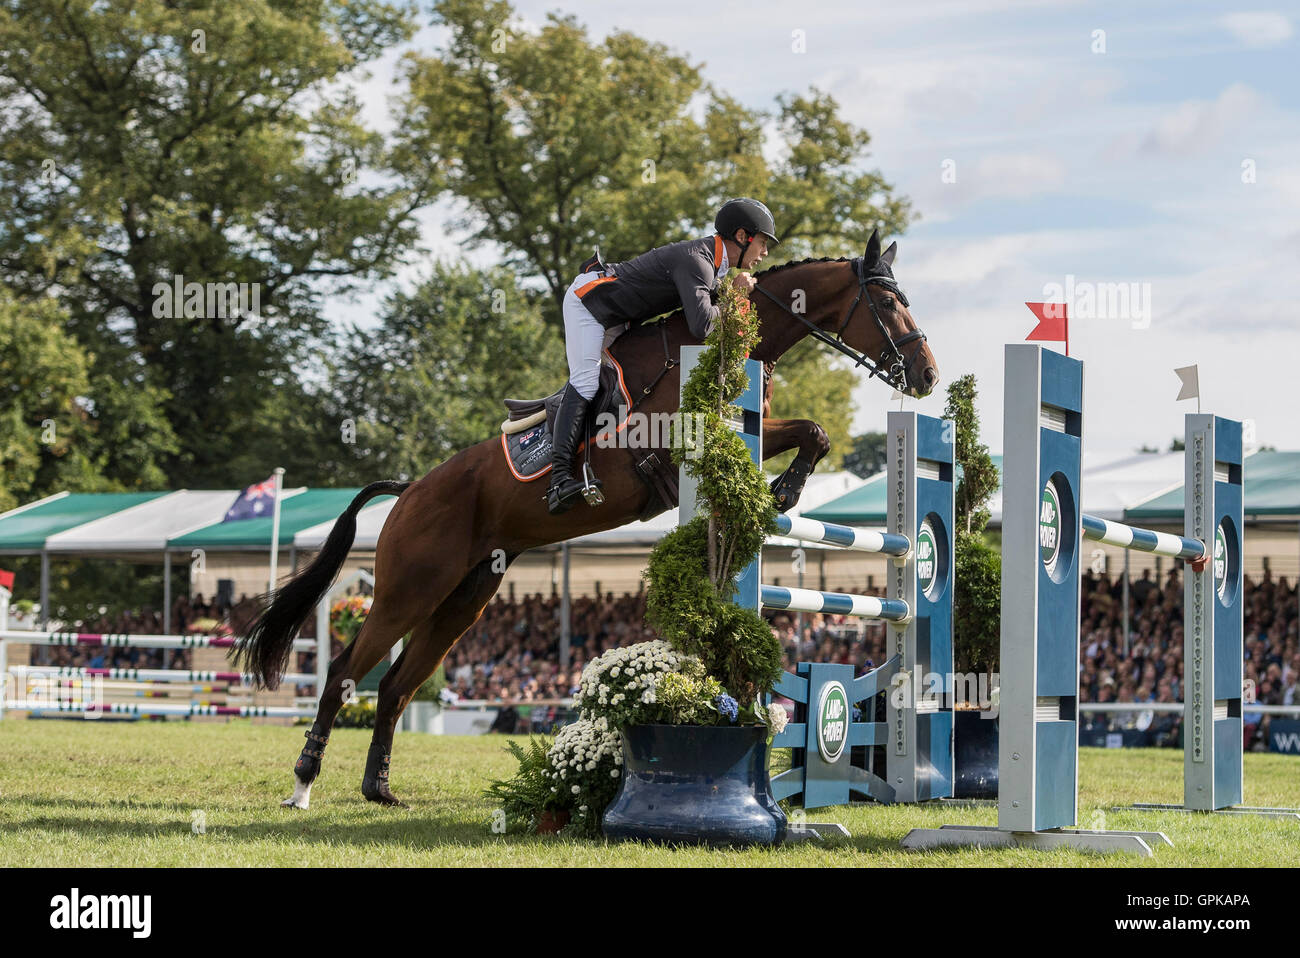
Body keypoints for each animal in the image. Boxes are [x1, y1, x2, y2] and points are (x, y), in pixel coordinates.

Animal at [233, 227, 941, 805]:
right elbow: (804, 434)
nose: (929, 375)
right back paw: (303, 782)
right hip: (411, 588)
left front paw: (784, 491)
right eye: (888, 303)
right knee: (344, 673)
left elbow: (814, 432)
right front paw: (784, 493)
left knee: (395, 686)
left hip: (467, 597)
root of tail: (409, 492)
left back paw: (379, 788)